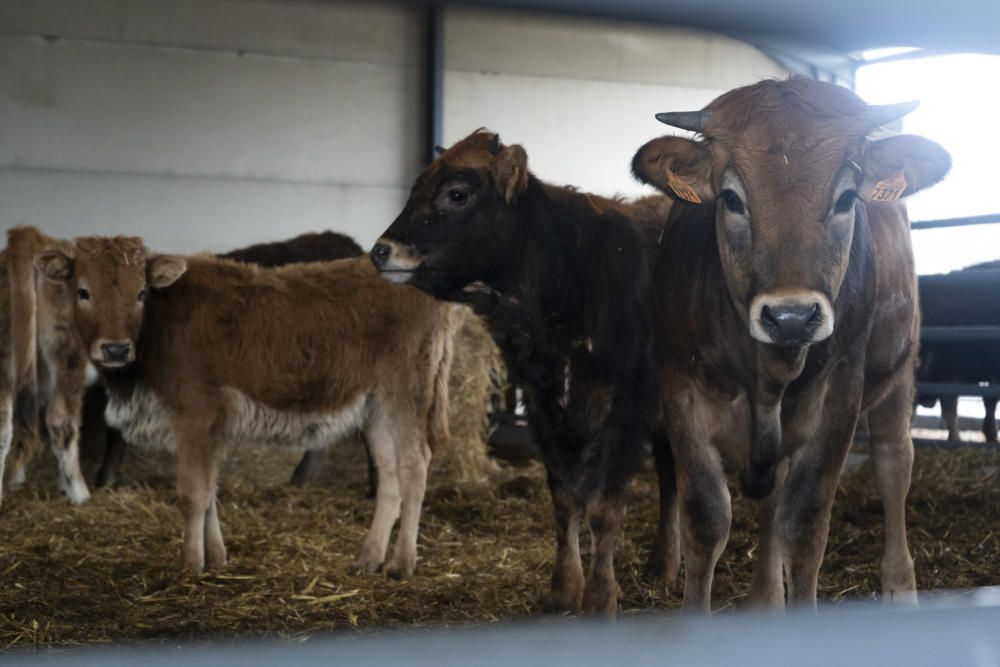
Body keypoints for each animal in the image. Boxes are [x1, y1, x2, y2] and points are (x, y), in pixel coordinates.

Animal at [35, 237, 458, 576]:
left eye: (141, 293)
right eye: (83, 291)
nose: (115, 349)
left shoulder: (195, 418)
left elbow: (193, 493)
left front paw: (190, 565)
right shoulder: (210, 428)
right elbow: (209, 491)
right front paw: (216, 558)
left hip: (406, 397)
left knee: (414, 468)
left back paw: (402, 564)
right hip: (375, 410)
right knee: (389, 475)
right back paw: (368, 560)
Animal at [632, 78, 952, 612]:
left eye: (847, 197)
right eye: (730, 198)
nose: (791, 316)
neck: (769, 372)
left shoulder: (840, 390)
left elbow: (803, 526)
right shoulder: (679, 386)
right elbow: (705, 519)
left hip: (900, 369)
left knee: (894, 463)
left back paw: (899, 584)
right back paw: (765, 597)